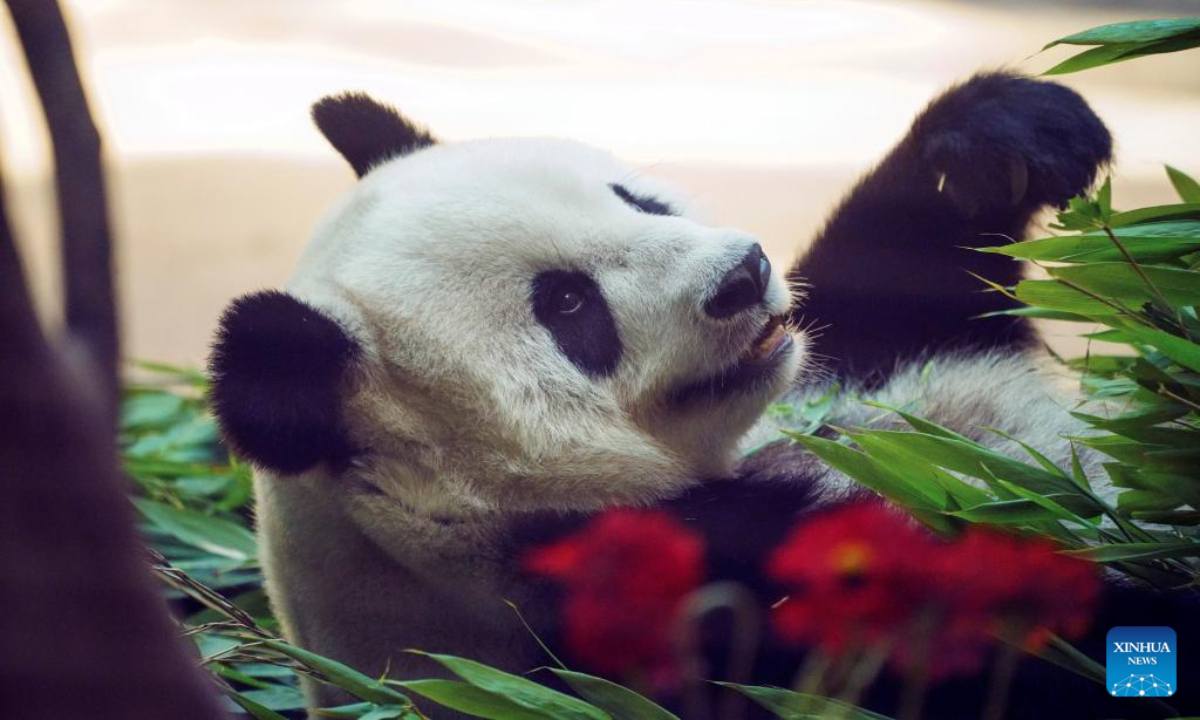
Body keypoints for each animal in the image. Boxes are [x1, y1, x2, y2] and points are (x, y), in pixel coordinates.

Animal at [208, 74, 1190, 719]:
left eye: (636, 199)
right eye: (569, 306)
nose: (744, 273)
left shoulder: (848, 373)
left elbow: (892, 292)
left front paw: (1006, 135)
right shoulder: (660, 607)